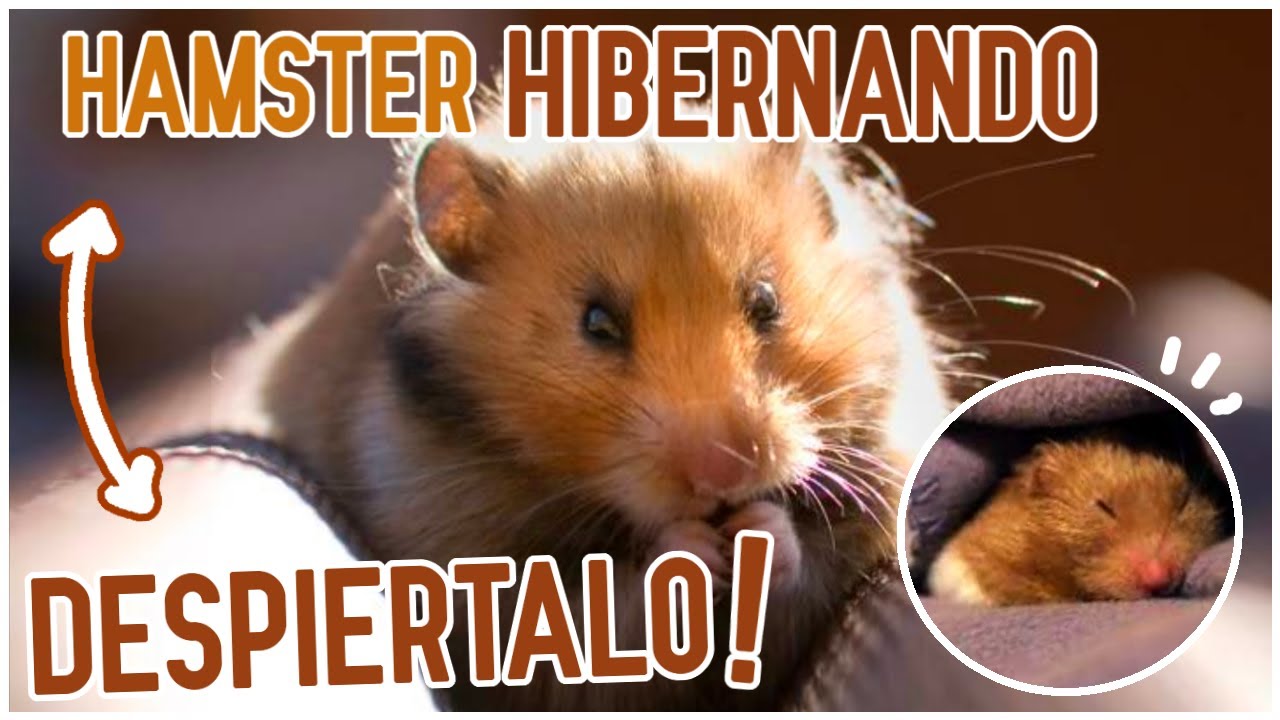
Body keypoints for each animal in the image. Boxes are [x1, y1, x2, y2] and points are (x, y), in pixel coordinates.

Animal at [263, 100, 951, 710]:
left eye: (766, 301)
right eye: (596, 323)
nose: (726, 472)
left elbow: (811, 565)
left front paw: (758, 531)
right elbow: (598, 615)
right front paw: (694, 553)